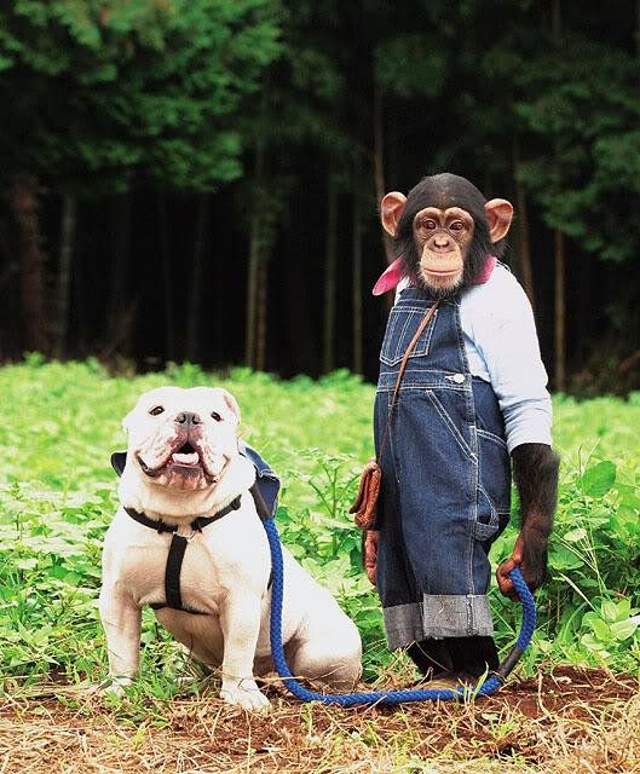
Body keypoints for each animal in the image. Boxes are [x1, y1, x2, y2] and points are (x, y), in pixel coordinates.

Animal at [364, 174, 560, 684]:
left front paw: (528, 559)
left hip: (459, 499)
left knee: (446, 569)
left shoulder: (509, 307)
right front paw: (368, 544)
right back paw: (437, 673)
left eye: (458, 226)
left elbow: (525, 406)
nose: (440, 244)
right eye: (427, 223)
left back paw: (474, 674)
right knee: (400, 587)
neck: (439, 300)